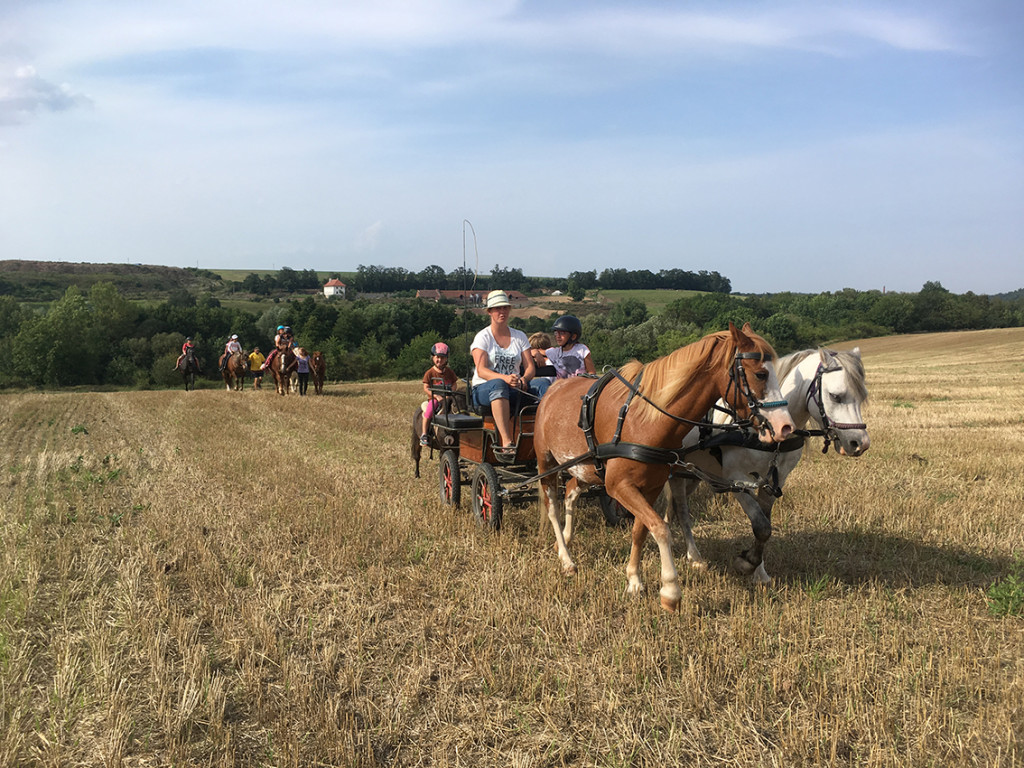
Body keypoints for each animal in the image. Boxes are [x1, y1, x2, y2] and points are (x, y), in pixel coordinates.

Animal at [532, 321, 794, 610]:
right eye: (760, 374)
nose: (785, 426)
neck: (644, 419)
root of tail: (553, 390)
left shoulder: (651, 486)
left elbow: (640, 530)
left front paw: (634, 580)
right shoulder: (618, 486)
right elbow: (660, 528)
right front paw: (670, 589)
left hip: (585, 468)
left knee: (570, 491)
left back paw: (566, 541)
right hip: (546, 463)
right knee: (552, 508)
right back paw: (566, 559)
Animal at [663, 348, 872, 581]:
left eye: (862, 396)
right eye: (836, 396)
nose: (859, 443)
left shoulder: (773, 481)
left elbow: (765, 524)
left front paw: (759, 571)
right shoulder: (737, 480)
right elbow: (761, 526)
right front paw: (746, 564)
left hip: (693, 474)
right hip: (676, 472)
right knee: (681, 511)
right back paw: (695, 557)